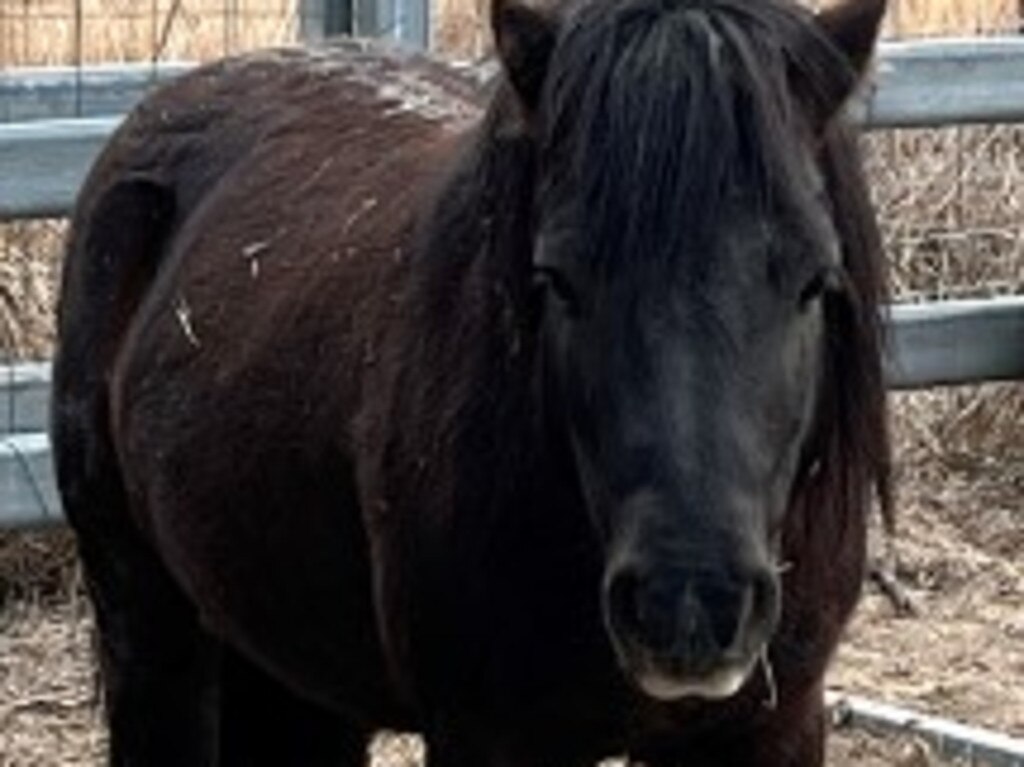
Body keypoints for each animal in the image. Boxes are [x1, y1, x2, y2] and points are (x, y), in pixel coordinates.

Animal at [54, 0, 888, 761]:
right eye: (557, 278)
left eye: (816, 277)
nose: (689, 605)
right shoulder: (490, 735)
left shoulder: (772, 725)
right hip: (147, 622)